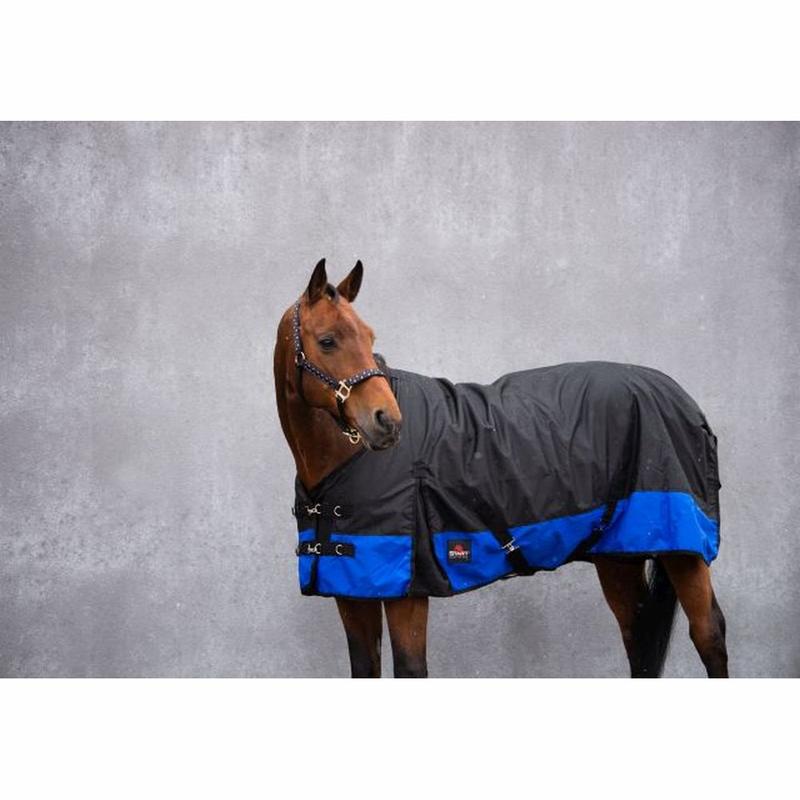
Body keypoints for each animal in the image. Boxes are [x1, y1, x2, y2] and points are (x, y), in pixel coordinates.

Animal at [273, 259, 729, 678]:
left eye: (370, 338)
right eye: (327, 341)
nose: (388, 422)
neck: (344, 462)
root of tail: (682, 399)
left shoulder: (408, 594)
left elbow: (410, 669)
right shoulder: (351, 593)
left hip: (683, 553)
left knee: (708, 633)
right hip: (619, 556)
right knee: (638, 639)